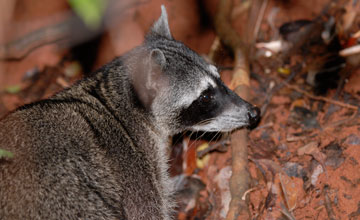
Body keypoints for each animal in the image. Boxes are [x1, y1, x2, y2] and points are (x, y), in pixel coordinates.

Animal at [0, 5, 258, 220]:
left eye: (219, 78)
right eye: (205, 97)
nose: (254, 113)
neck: (115, 101)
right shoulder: (133, 166)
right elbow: (146, 212)